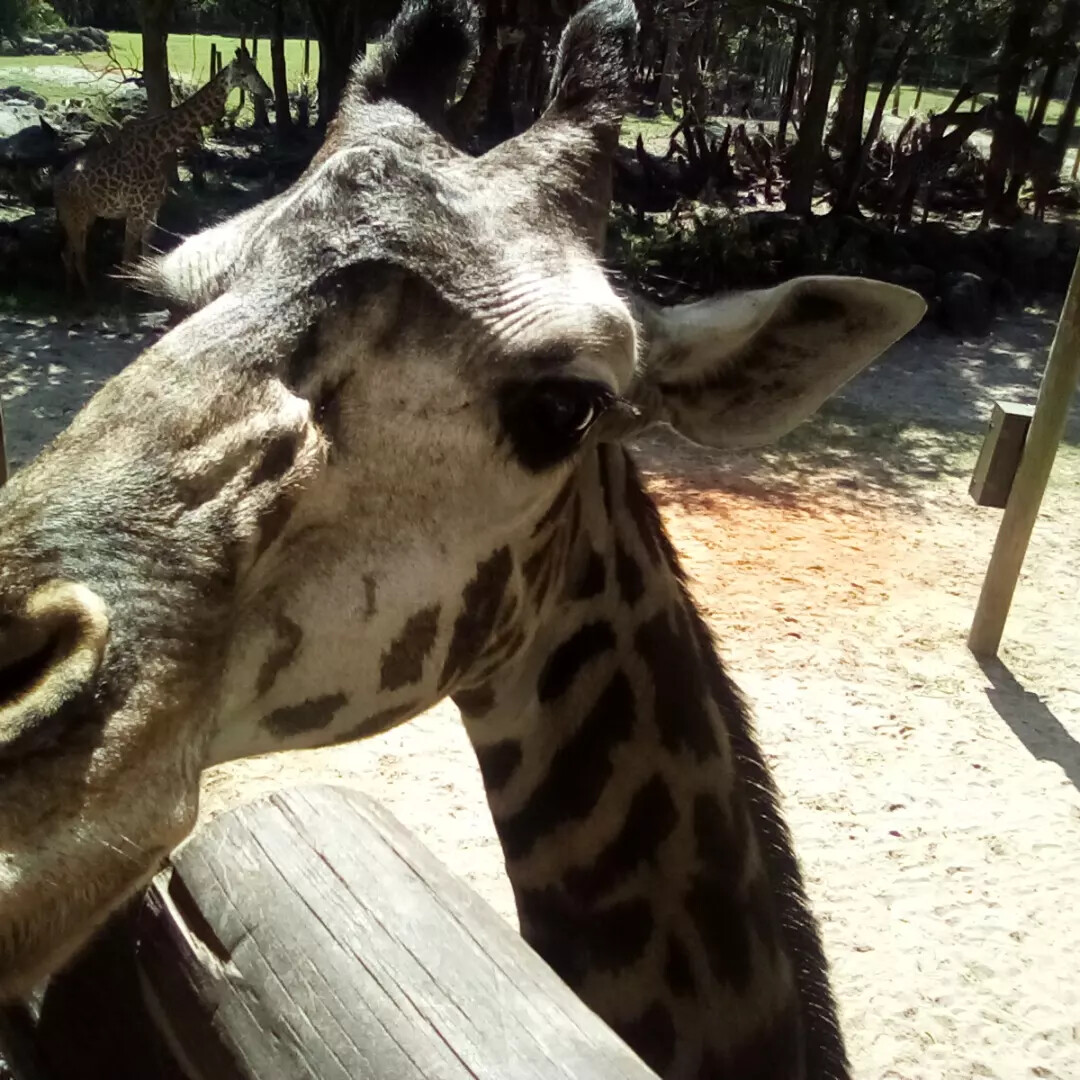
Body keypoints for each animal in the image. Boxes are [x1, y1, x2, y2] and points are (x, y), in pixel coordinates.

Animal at [52, 48, 272, 295]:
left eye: (256, 69)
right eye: (243, 74)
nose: (268, 91)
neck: (159, 145)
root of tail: (55, 184)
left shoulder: (152, 209)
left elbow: (147, 254)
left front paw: (147, 291)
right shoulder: (135, 210)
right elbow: (127, 259)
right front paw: (127, 297)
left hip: (86, 217)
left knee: (70, 252)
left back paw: (76, 291)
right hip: (75, 217)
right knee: (74, 253)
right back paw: (84, 293)